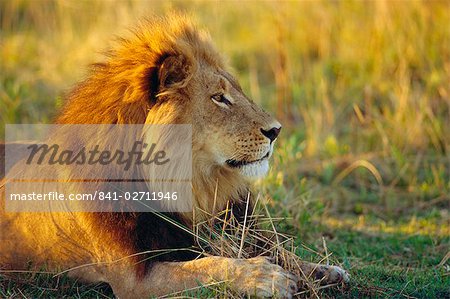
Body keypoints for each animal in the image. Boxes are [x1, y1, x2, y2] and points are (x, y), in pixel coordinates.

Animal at [0, 15, 348, 298]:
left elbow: (279, 250)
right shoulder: (134, 279)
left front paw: (323, 270)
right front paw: (264, 277)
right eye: (219, 98)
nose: (276, 131)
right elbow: (205, 267)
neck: (188, 184)